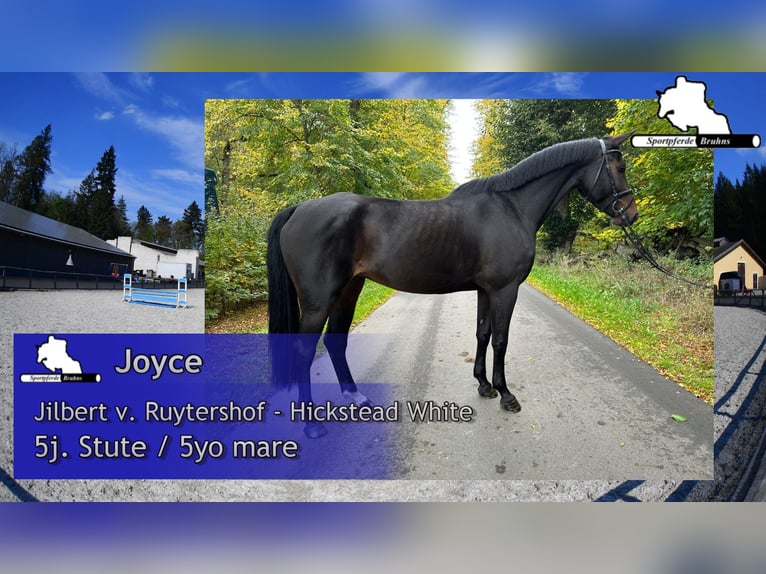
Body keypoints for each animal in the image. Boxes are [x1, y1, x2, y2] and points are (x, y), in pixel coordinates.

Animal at [267, 133, 637, 438]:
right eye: (619, 167)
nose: (631, 213)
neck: (511, 208)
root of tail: (298, 208)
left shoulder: (486, 290)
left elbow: (483, 334)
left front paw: (484, 386)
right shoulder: (505, 289)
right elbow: (501, 340)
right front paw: (506, 395)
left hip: (349, 290)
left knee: (336, 341)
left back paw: (355, 396)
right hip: (319, 300)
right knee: (303, 351)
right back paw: (312, 424)